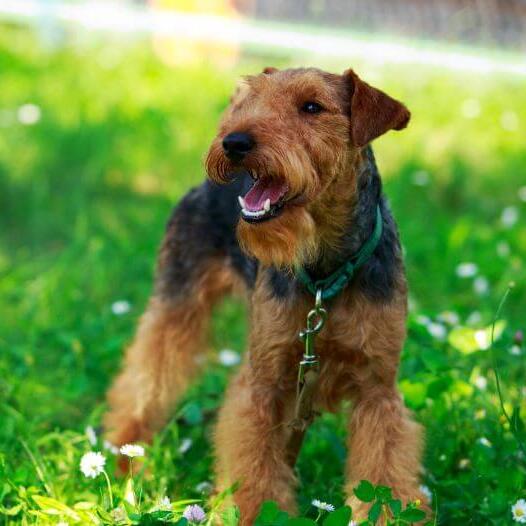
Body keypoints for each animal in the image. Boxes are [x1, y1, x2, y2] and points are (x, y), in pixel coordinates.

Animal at [104, 66, 428, 524]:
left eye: (312, 106)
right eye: (256, 98)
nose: (234, 143)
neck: (325, 269)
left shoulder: (377, 389)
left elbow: (383, 473)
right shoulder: (264, 381)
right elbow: (253, 470)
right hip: (177, 301)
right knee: (143, 380)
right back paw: (125, 459)